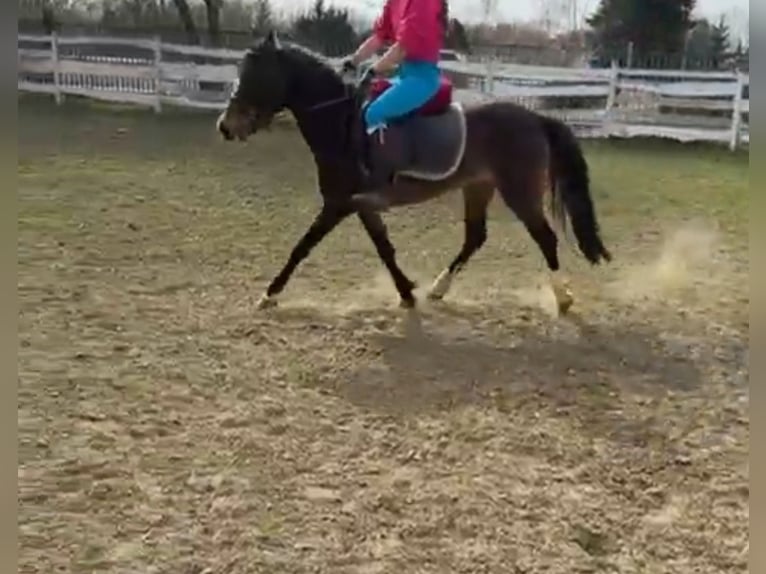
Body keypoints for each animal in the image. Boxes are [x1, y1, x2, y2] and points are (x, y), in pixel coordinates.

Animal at [216, 31, 612, 314]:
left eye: (256, 76)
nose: (225, 126)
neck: (342, 122)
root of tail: (535, 118)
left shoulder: (339, 204)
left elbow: (302, 246)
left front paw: (269, 294)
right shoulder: (361, 206)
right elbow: (384, 248)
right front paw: (407, 292)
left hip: (519, 191)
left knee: (545, 238)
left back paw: (563, 298)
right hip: (478, 187)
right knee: (475, 237)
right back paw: (439, 288)